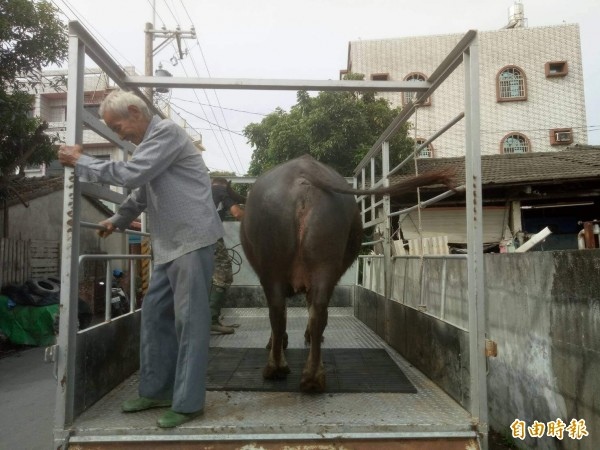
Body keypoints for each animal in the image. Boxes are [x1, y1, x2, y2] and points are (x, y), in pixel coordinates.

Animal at [239, 154, 450, 390]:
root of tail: (303, 175)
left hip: (278, 266)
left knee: (283, 312)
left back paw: (280, 369)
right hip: (316, 263)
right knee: (309, 311)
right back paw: (309, 376)